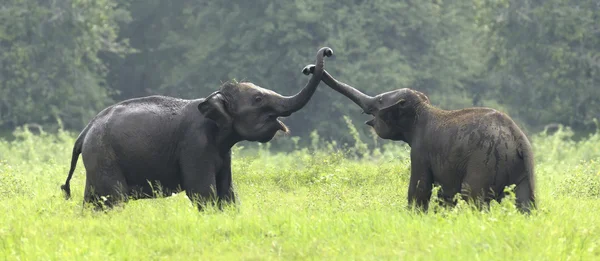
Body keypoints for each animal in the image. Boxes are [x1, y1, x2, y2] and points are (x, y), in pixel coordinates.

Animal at [61, 46, 336, 209]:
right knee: (113, 198)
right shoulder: (195, 145)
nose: (325, 53)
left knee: (93, 201)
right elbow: (203, 193)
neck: (212, 98)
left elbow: (227, 192)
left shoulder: (223, 152)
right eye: (258, 99)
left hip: (97, 159)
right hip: (104, 155)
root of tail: (85, 132)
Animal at [304, 64, 536, 212]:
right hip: (523, 169)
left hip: (484, 163)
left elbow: (420, 188)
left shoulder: (420, 150)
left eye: (379, 101)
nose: (309, 68)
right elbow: (445, 194)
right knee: (526, 203)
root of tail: (518, 139)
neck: (424, 108)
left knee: (472, 197)